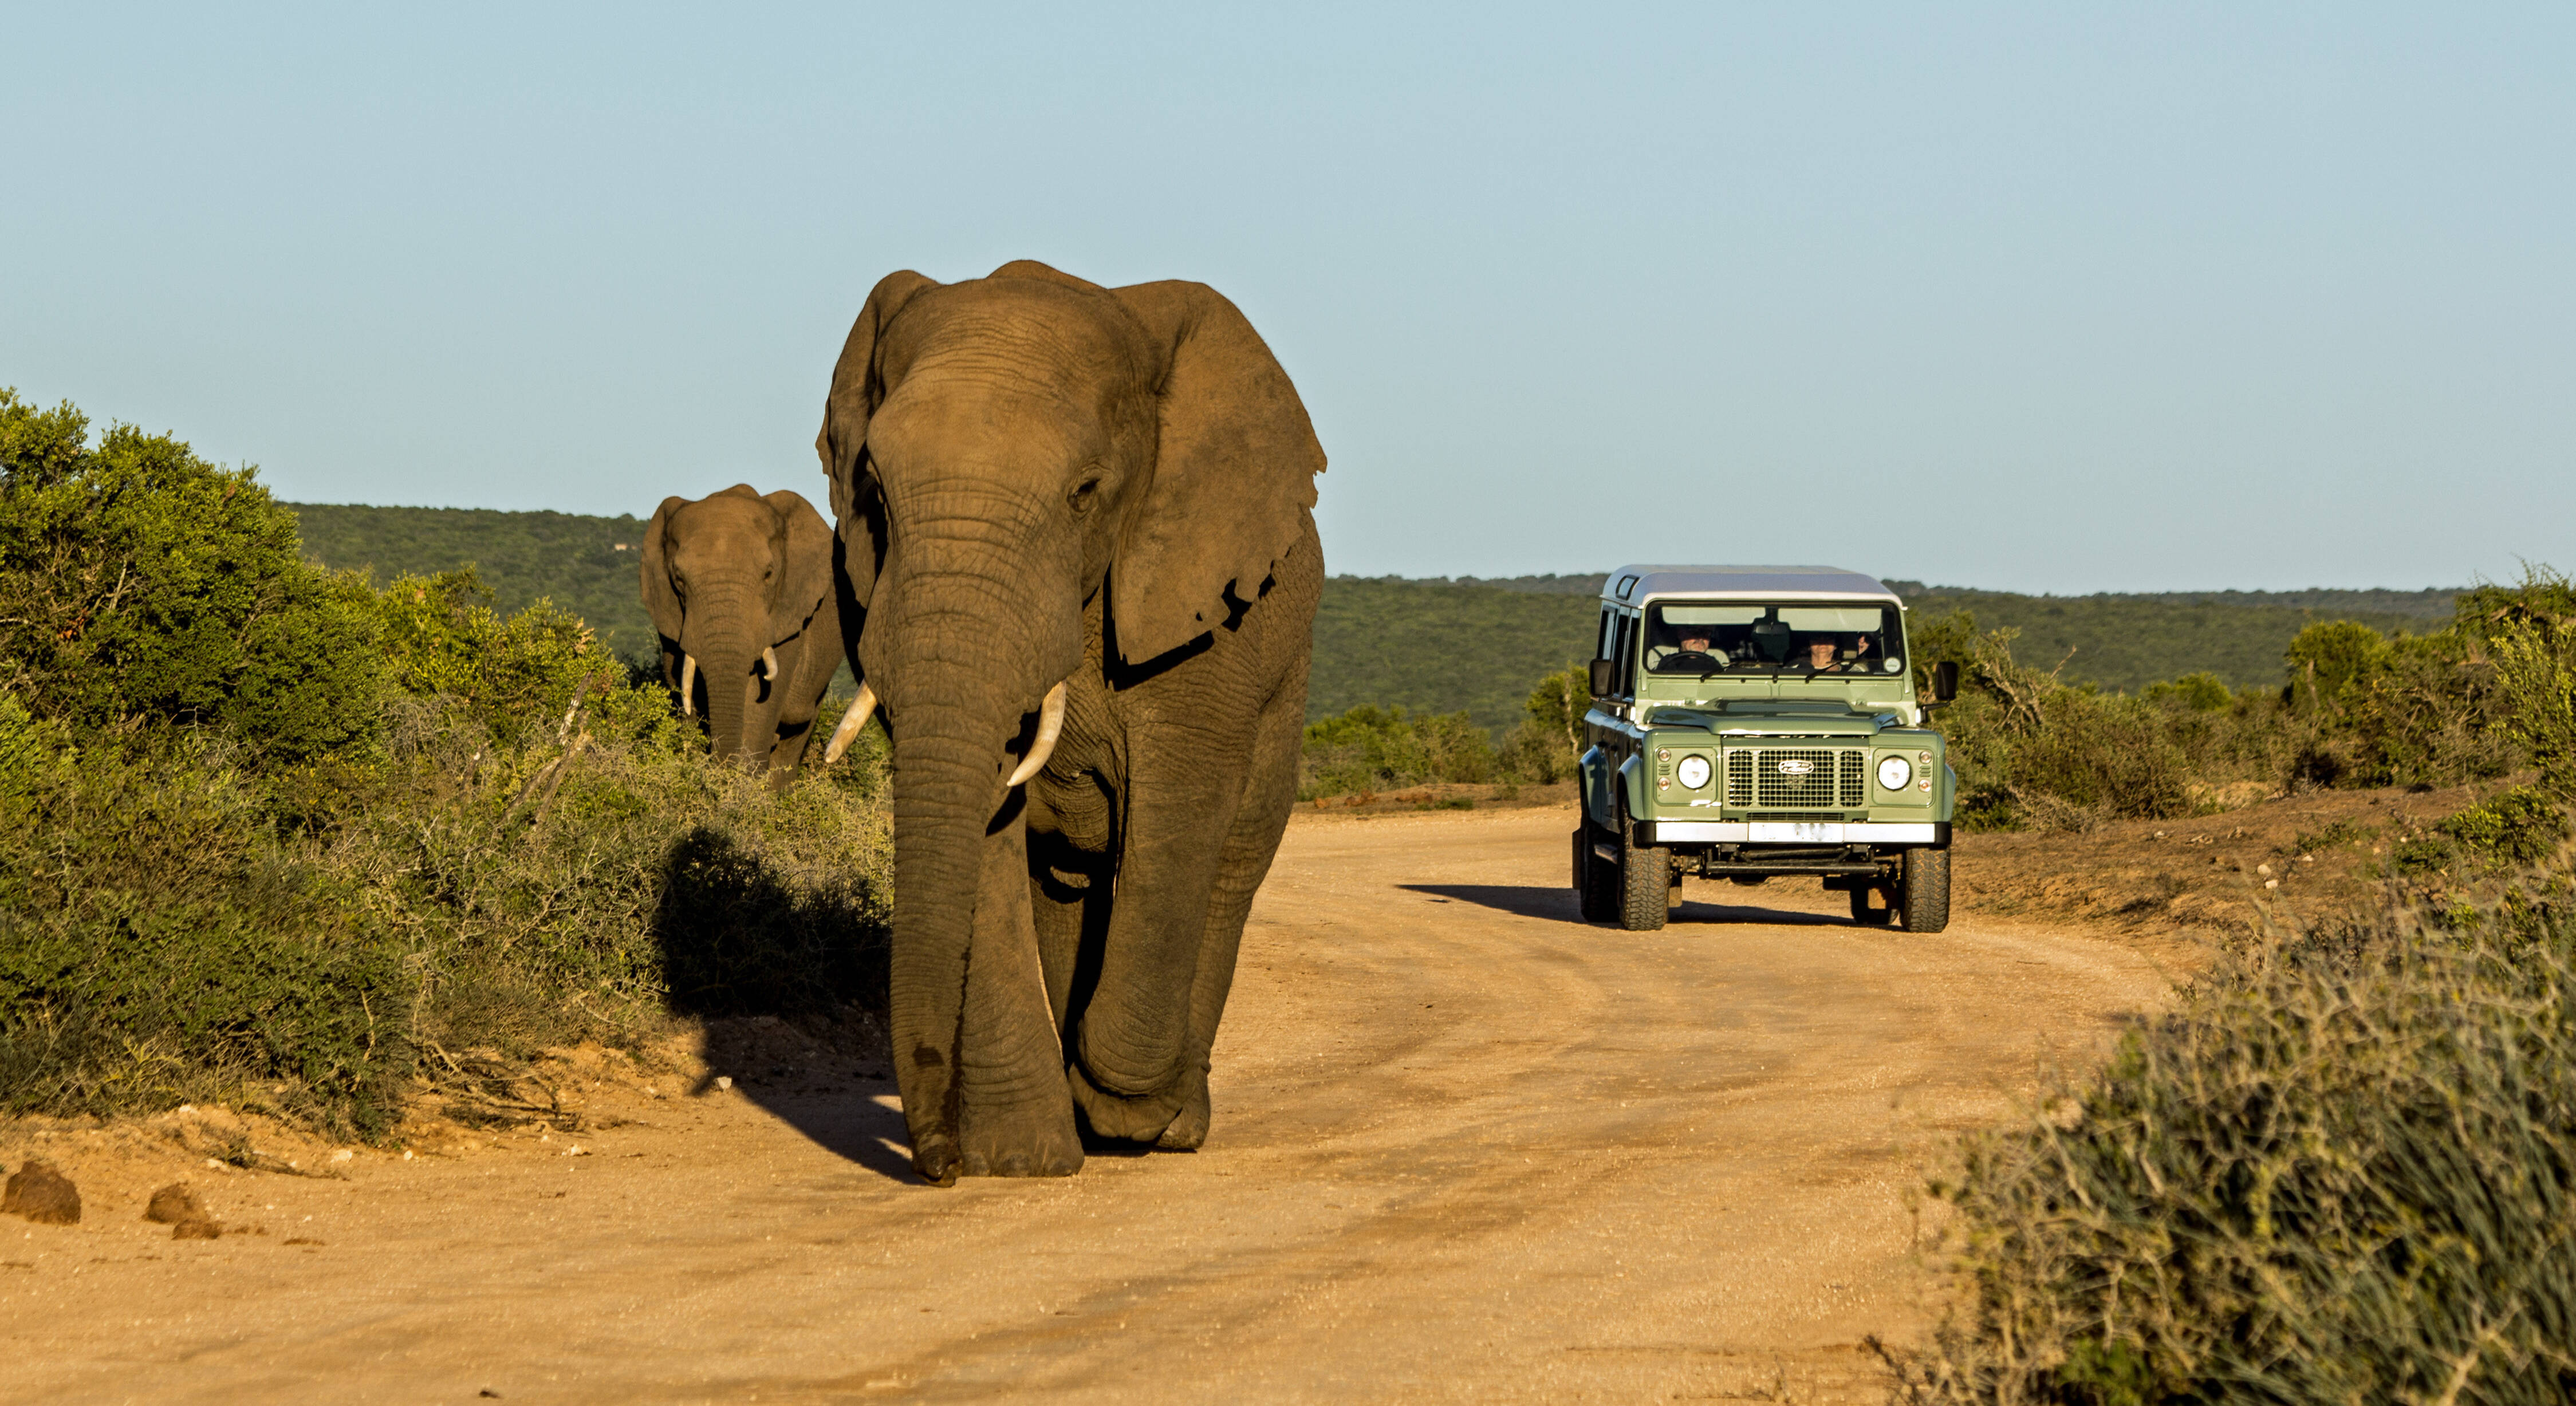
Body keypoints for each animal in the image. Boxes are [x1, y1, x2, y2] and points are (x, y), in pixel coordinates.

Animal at [641, 484, 841, 785]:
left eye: (769, 574)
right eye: (679, 579)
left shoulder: (787, 615)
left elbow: (762, 698)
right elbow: (681, 687)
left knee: (795, 735)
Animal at [814, 259, 1325, 1185]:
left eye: (1084, 493)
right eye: (873, 491)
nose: (935, 1162)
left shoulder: (1202, 613)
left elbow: (1180, 813)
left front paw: (1125, 1109)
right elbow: (986, 832)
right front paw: (1021, 1157)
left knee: (1231, 859)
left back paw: (1169, 1124)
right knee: (1067, 880)